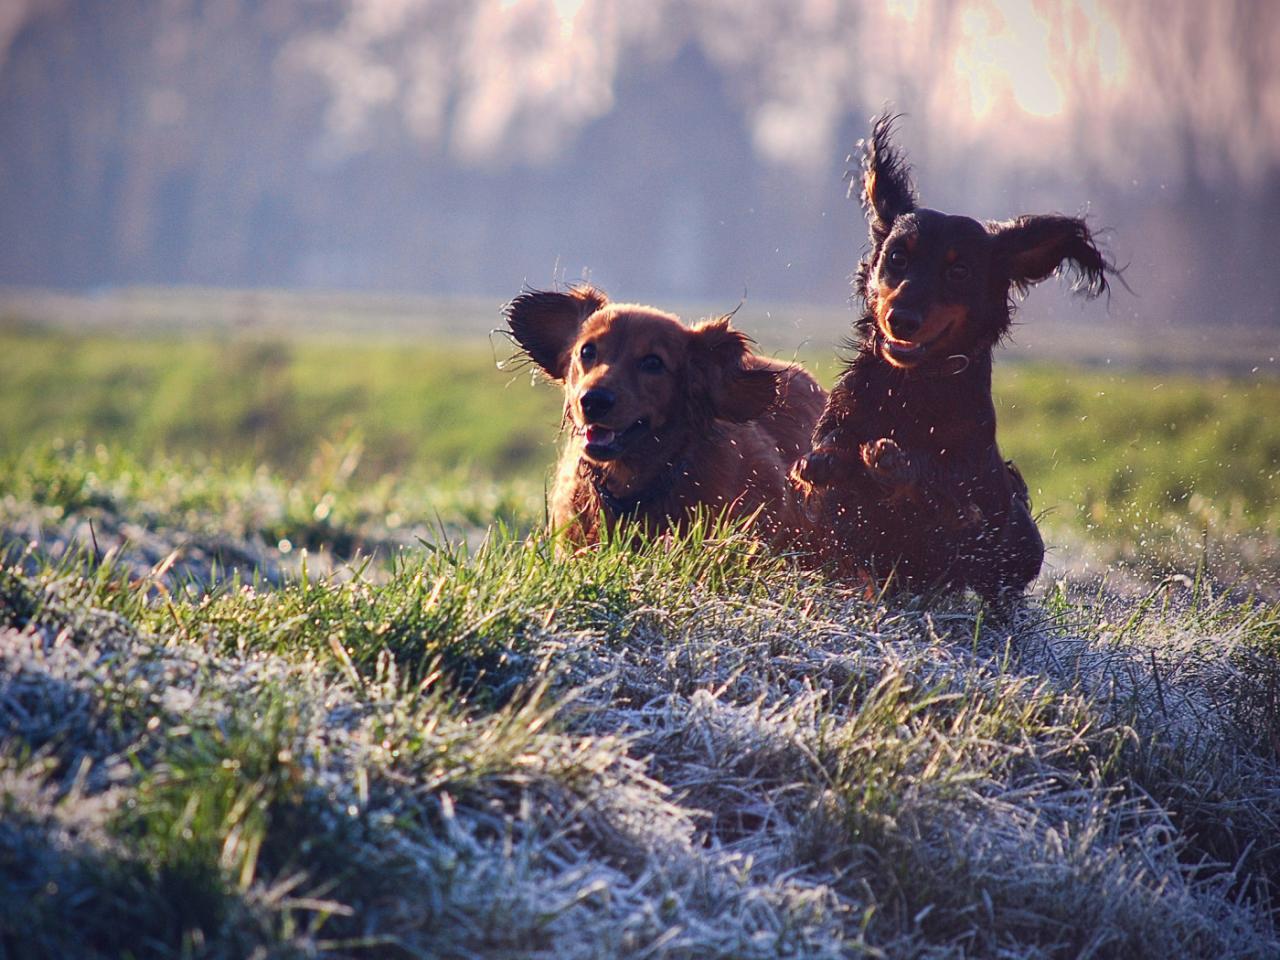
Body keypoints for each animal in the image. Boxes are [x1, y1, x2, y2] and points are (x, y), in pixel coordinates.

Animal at [788, 116, 1111, 604]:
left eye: (958, 271)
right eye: (897, 257)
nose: (901, 320)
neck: (911, 386)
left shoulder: (972, 501)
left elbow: (945, 492)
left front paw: (893, 461)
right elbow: (828, 458)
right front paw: (828, 460)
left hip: (1021, 538)